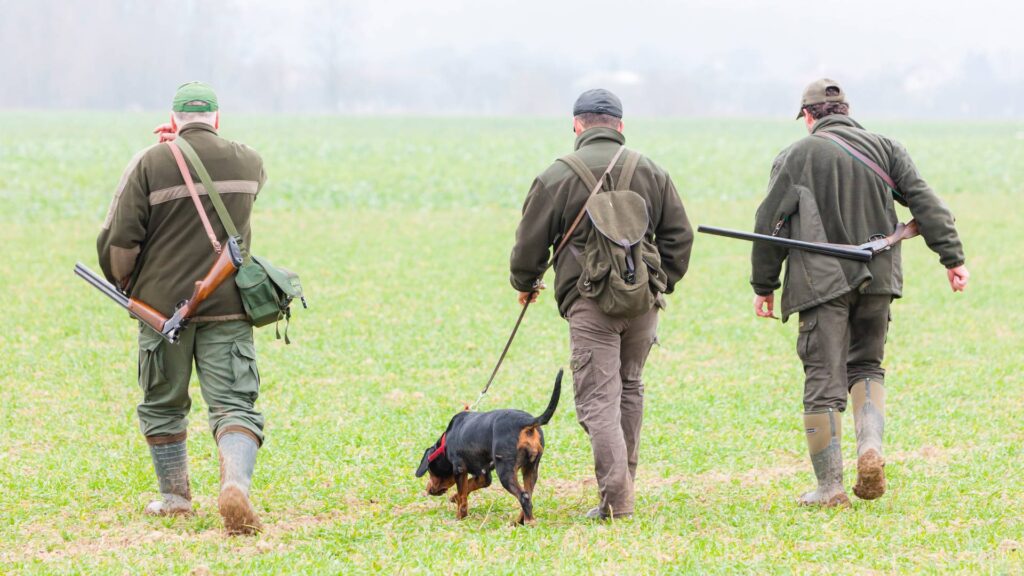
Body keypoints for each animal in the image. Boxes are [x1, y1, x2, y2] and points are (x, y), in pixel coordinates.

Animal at [413, 368, 565, 522]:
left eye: (430, 470)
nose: (429, 490)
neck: (445, 442)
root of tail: (527, 422)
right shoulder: (483, 475)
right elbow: (469, 486)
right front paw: (454, 498)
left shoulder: (460, 469)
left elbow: (463, 496)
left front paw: (459, 517)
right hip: (530, 468)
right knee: (528, 493)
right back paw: (519, 522)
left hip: (505, 471)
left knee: (524, 496)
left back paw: (529, 523)